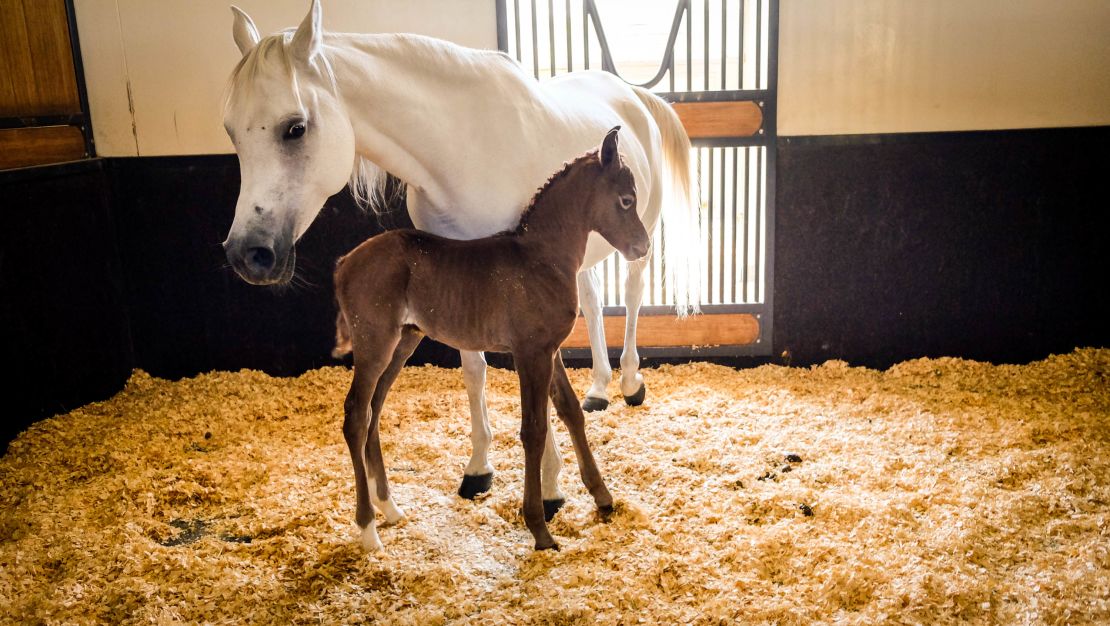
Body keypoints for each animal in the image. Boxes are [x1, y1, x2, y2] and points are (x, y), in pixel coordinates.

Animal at [330, 125, 648, 548]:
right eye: (626, 200)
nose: (642, 246)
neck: (542, 257)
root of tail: (344, 263)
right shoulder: (529, 352)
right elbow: (533, 429)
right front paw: (539, 528)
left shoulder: (550, 350)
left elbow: (570, 412)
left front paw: (603, 497)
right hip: (375, 344)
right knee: (355, 415)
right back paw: (367, 530)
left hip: (402, 342)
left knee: (373, 411)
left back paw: (391, 509)